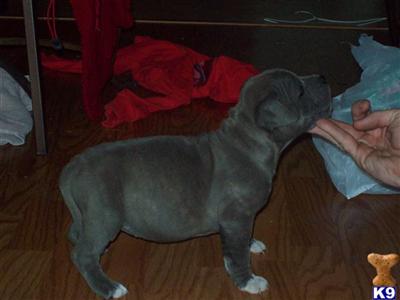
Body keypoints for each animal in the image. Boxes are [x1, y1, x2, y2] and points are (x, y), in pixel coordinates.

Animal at [58, 69, 332, 298]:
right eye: (299, 91)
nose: (323, 77)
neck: (248, 140)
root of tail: (72, 168)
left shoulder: (241, 219)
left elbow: (242, 241)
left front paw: (251, 243)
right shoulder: (236, 217)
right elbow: (236, 254)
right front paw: (248, 281)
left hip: (89, 215)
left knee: (77, 234)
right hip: (105, 214)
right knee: (82, 254)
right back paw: (109, 288)